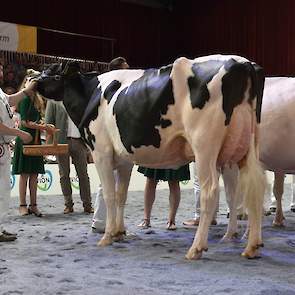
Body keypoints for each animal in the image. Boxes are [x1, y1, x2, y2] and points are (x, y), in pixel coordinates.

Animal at [34, 54, 266, 260]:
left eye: (51, 70)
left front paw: (107, 236)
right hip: (246, 147)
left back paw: (196, 248)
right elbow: (121, 195)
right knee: (250, 189)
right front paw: (119, 232)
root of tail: (243, 63)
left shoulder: (101, 152)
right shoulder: (124, 159)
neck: (92, 92)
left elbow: (110, 195)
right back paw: (251, 246)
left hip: (205, 146)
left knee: (210, 193)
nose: (33, 80)